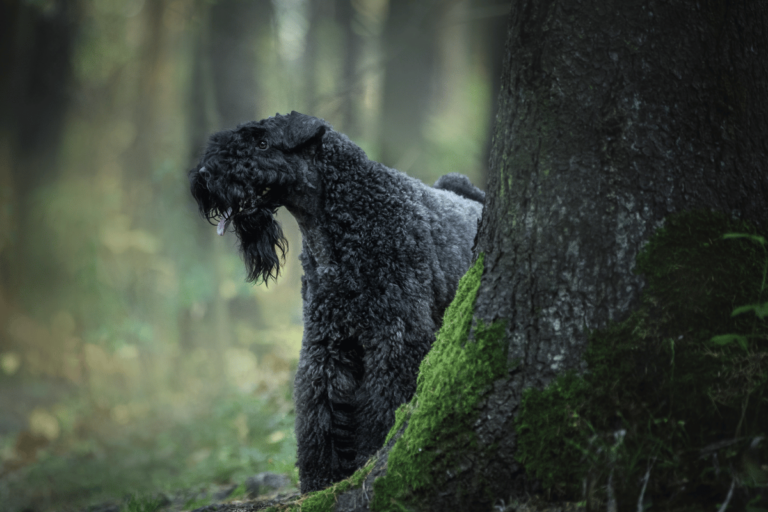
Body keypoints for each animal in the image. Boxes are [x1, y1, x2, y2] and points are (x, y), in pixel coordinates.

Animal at [188, 112, 480, 492]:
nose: (204, 175)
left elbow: (384, 400)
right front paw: (321, 477)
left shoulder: (395, 336)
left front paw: (371, 454)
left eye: (263, 143)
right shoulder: (327, 341)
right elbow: (320, 404)